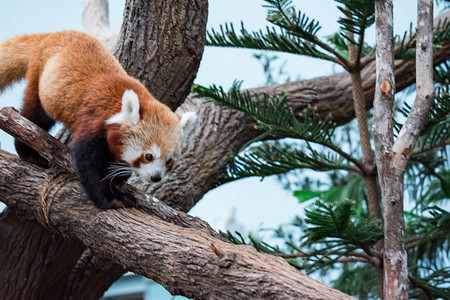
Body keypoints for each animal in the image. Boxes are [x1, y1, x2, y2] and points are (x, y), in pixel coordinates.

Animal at [0, 30, 197, 209]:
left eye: (169, 160)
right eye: (149, 156)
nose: (156, 177)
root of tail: (52, 34)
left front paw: (118, 190)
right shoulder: (94, 124)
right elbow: (88, 165)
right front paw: (109, 200)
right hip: (41, 80)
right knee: (35, 116)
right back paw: (28, 152)